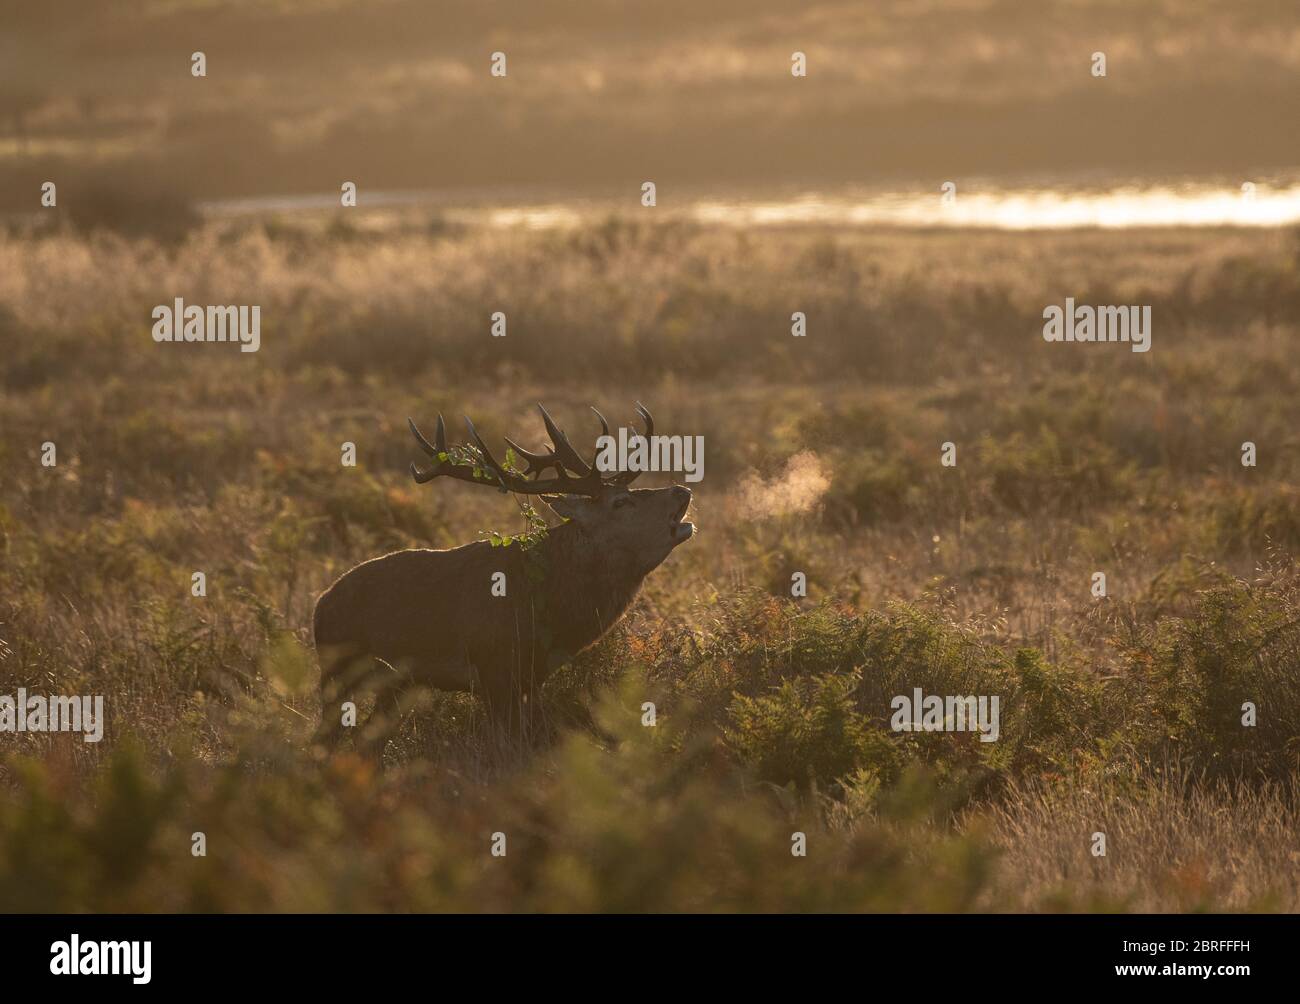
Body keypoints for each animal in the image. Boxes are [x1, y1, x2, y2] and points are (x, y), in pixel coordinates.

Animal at [313, 403, 694, 758]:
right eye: (620, 501)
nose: (681, 490)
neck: (551, 611)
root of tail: (320, 605)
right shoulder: (493, 667)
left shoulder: (530, 678)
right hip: (336, 672)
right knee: (327, 736)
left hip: (395, 684)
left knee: (368, 738)